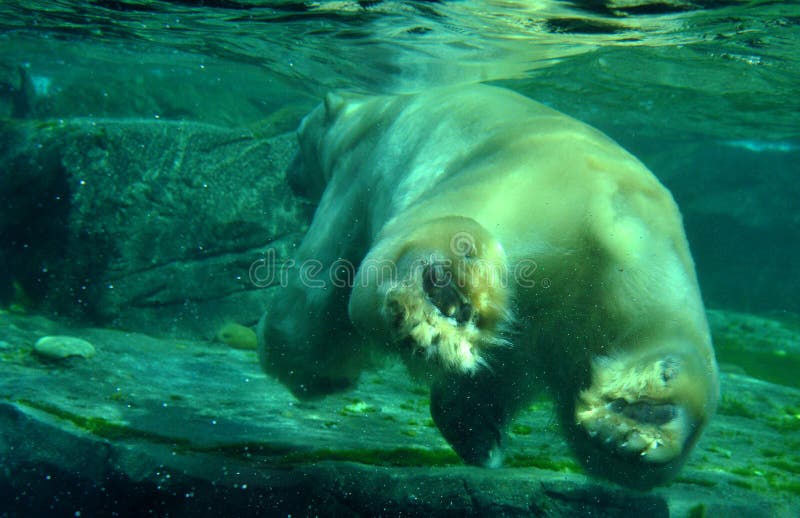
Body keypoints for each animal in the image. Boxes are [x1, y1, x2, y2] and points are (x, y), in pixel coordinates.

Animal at [260, 85, 720, 492]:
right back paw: (633, 425)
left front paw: (309, 371)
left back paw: (432, 306)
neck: (374, 112)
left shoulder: (358, 176)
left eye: (298, 136)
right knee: (658, 353)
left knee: (422, 244)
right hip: (653, 282)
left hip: (495, 191)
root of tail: (606, 214)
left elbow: (317, 286)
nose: (289, 176)